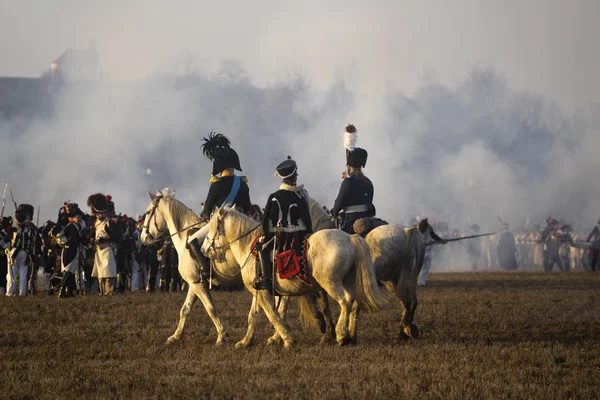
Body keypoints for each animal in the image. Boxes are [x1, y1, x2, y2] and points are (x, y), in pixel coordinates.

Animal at [202, 205, 390, 348]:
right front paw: (246, 342)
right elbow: (254, 316)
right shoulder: (259, 292)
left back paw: (342, 335)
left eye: (211, 227)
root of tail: (350, 238)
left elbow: (272, 314)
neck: (249, 246)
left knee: (346, 301)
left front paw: (287, 339)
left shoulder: (263, 293)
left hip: (331, 283)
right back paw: (351, 336)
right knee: (355, 304)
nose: (204, 249)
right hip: (348, 281)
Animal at [310, 200, 426, 340]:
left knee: (407, 302)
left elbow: (324, 306)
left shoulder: (321, 284)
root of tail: (407, 231)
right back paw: (405, 330)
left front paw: (328, 332)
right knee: (411, 302)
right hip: (405, 281)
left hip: (390, 281)